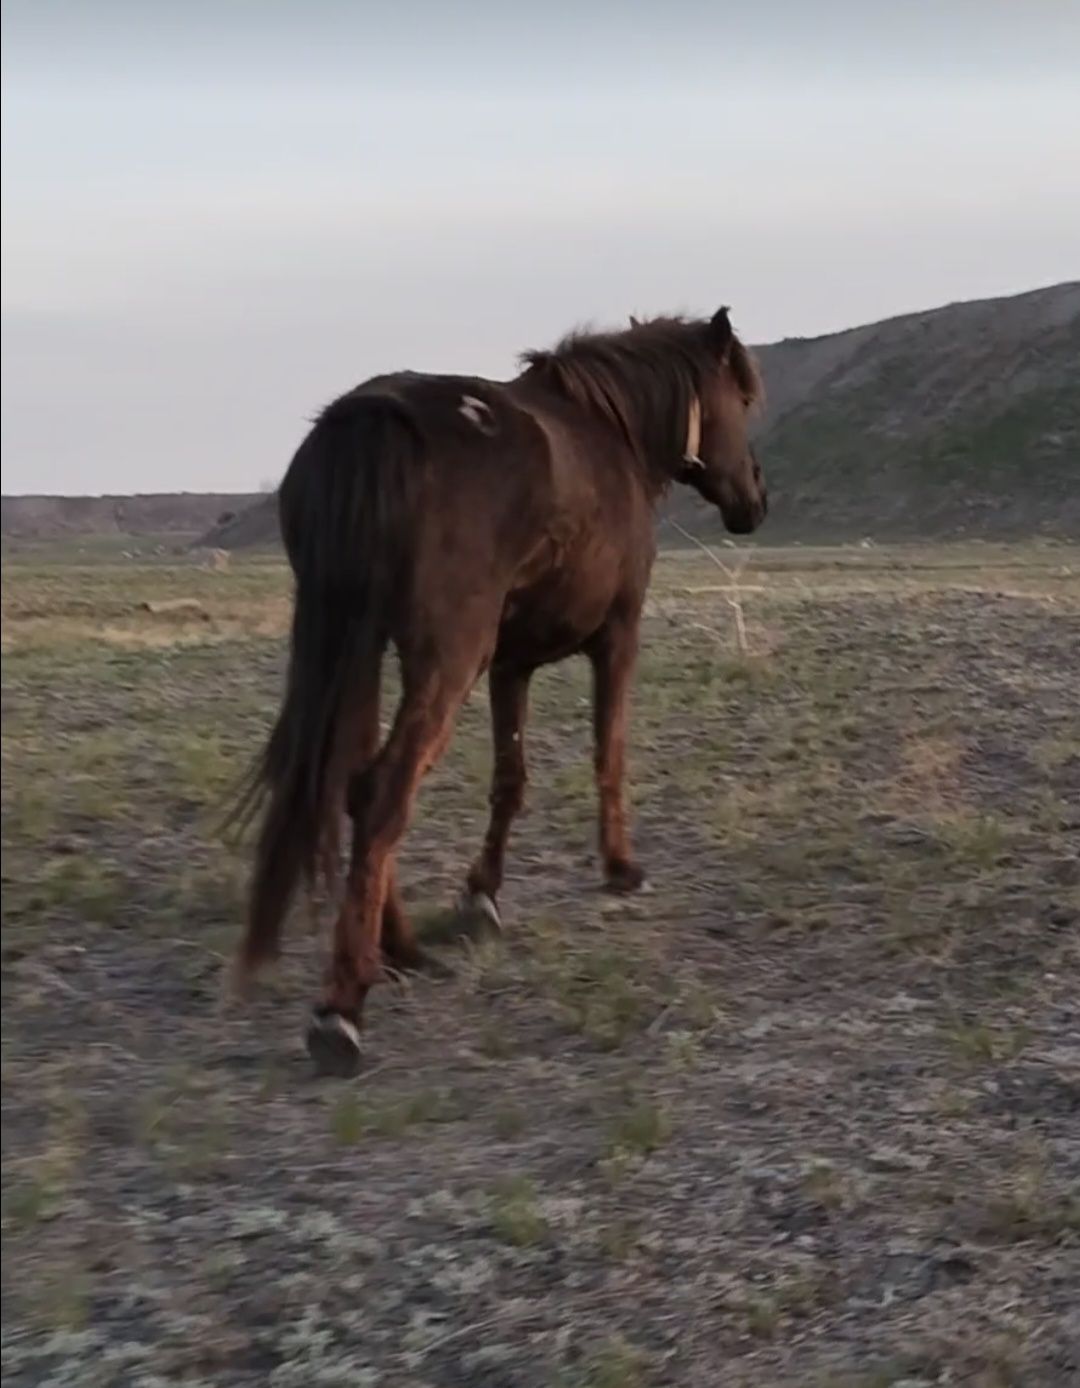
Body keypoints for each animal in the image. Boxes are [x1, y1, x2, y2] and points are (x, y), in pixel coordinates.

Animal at [233, 309, 766, 1077]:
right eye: (744, 399)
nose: (756, 497)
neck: (613, 431)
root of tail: (371, 418)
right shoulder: (619, 635)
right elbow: (609, 754)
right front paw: (621, 867)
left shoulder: (511, 662)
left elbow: (509, 778)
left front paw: (481, 895)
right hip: (445, 658)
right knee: (384, 790)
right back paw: (343, 1005)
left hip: (361, 644)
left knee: (354, 781)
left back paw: (399, 950)